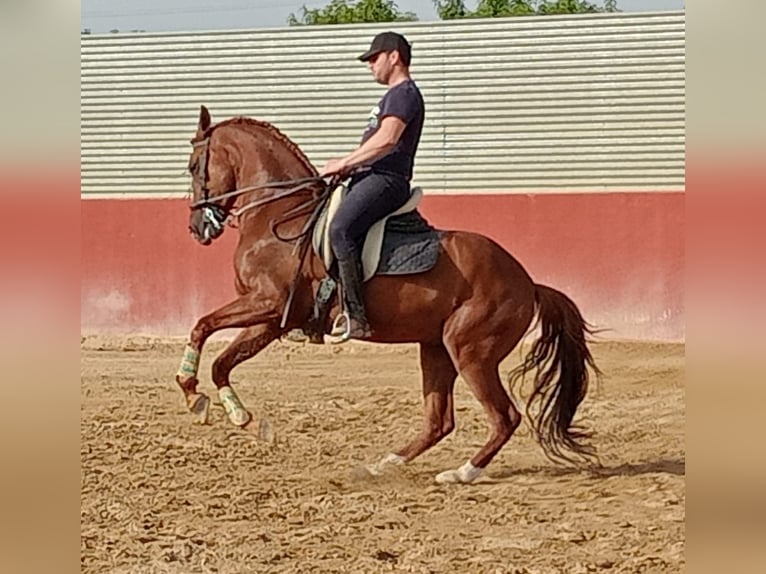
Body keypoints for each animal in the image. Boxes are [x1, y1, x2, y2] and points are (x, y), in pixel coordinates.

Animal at [177, 106, 604, 484]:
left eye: (195, 165)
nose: (196, 227)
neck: (279, 217)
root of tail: (528, 283)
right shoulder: (271, 319)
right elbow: (222, 362)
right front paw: (242, 419)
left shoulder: (266, 304)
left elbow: (201, 325)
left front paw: (192, 393)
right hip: (436, 349)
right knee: (439, 421)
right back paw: (383, 465)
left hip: (471, 352)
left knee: (503, 417)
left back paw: (461, 473)